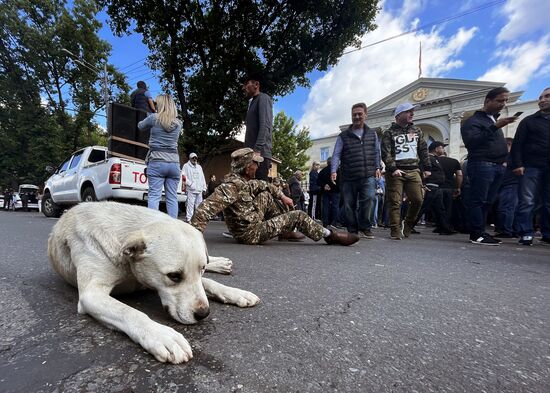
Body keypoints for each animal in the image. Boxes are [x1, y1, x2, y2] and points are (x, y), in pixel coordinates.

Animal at [48, 201, 260, 362]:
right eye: (174, 276)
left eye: (201, 269)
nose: (203, 314)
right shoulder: (92, 294)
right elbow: (131, 313)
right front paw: (162, 336)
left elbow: (208, 283)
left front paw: (236, 293)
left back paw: (220, 263)